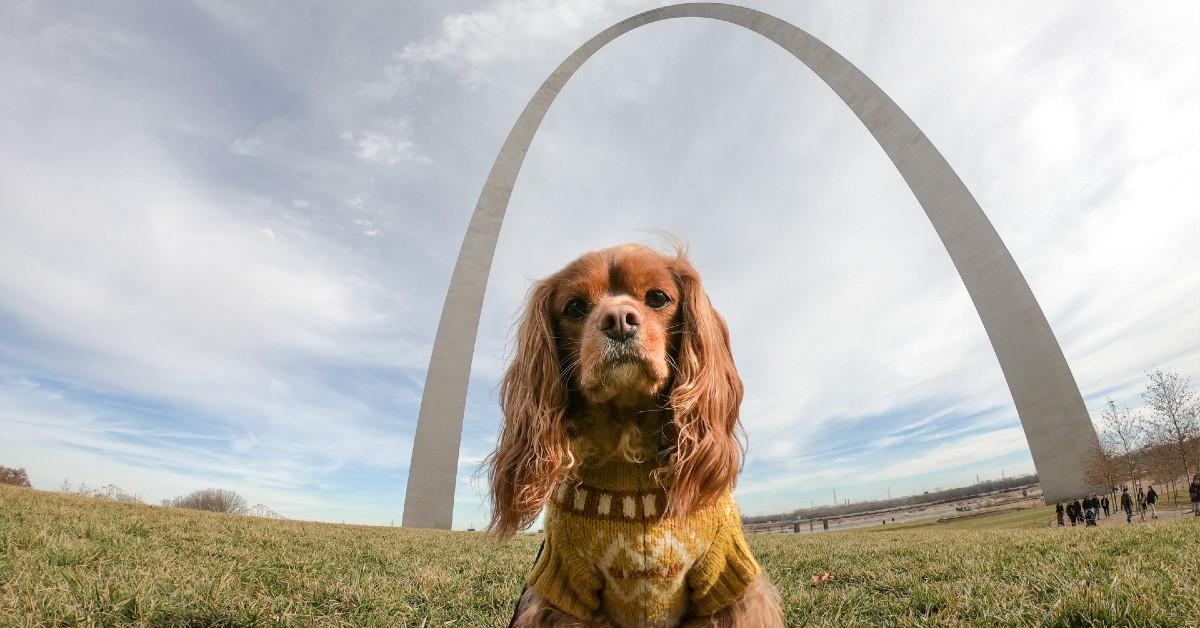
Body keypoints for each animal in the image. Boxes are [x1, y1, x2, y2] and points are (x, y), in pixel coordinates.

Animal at [487, 244, 787, 628]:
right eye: (575, 307)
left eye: (658, 297)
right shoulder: (564, 590)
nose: (618, 319)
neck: (629, 448)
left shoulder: (726, 581)